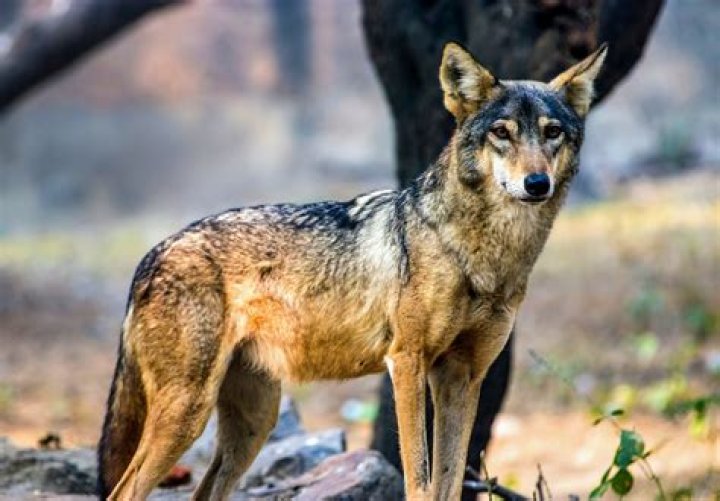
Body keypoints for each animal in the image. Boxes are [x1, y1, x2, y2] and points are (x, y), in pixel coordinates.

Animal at [98, 42, 606, 500]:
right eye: (502, 132)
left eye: (552, 133)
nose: (536, 183)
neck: (479, 256)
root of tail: (154, 252)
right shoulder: (407, 363)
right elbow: (421, 481)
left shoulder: (462, 376)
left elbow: (449, 482)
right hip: (188, 413)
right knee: (124, 491)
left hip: (253, 423)